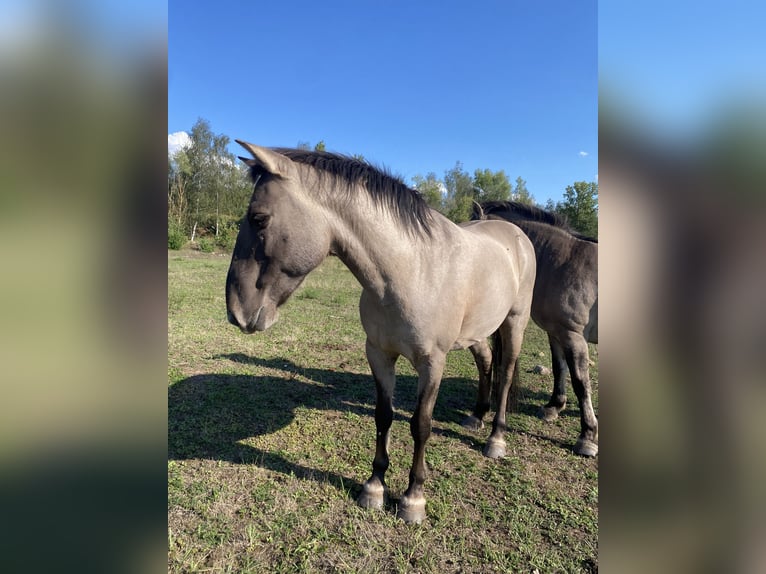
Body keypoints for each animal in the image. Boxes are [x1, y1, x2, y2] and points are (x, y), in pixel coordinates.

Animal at [226, 142, 536, 523]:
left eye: (259, 218)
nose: (236, 310)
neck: (411, 271)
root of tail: (515, 234)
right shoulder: (378, 354)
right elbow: (383, 415)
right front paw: (374, 487)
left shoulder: (432, 363)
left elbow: (420, 424)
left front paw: (413, 498)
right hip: (477, 333)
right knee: (486, 362)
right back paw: (476, 417)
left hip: (515, 323)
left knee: (505, 374)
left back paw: (496, 439)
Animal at [464, 200, 598, 457]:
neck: (564, 261)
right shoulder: (555, 332)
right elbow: (559, 368)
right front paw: (554, 407)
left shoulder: (573, 335)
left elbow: (580, 382)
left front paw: (587, 436)